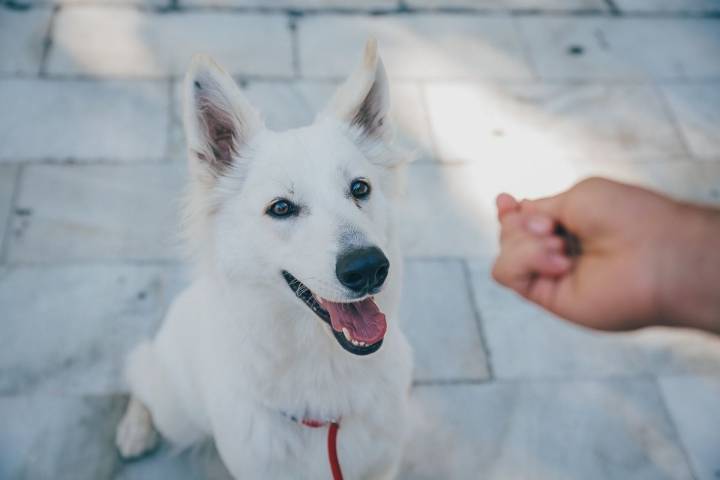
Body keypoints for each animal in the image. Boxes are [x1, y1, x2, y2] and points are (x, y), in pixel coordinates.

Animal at [115, 39, 414, 478]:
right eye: (281, 208)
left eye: (360, 188)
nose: (368, 268)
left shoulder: (384, 465)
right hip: (177, 413)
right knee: (142, 373)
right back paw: (135, 428)